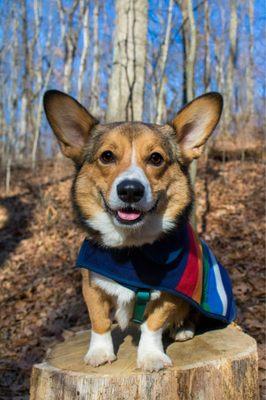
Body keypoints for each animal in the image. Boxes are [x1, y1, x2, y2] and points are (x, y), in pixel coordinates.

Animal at [43, 90, 237, 372]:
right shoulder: (91, 286)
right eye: (107, 156)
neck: (132, 249)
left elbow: (153, 326)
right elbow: (99, 322)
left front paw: (151, 356)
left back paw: (182, 330)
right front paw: (99, 353)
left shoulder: (169, 295)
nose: (131, 190)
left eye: (156, 158)